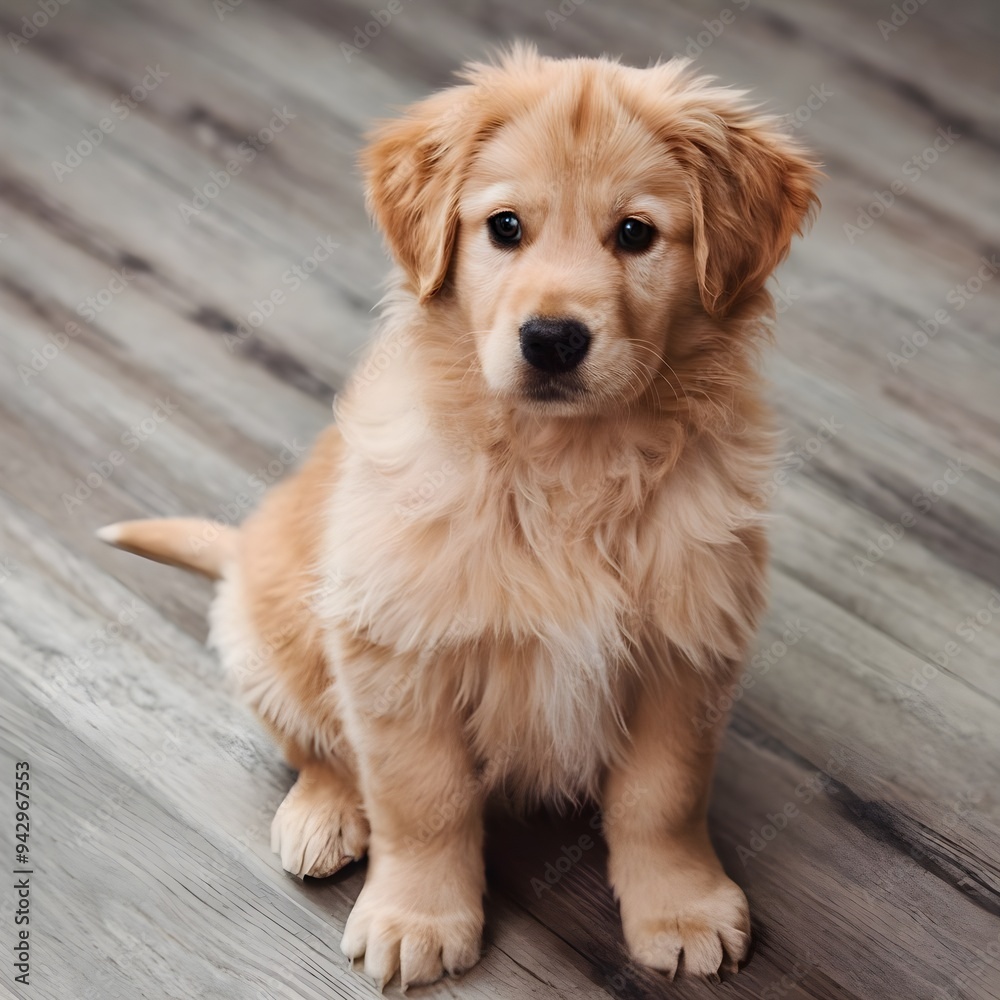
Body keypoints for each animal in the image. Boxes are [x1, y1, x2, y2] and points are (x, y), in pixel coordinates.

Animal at [99, 45, 820, 984]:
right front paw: (419, 917)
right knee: (316, 747)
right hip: (268, 640)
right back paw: (322, 816)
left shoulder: (688, 644)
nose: (552, 339)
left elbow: (663, 796)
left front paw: (681, 905)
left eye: (635, 234)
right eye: (504, 228)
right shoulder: (395, 645)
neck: (565, 465)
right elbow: (423, 798)